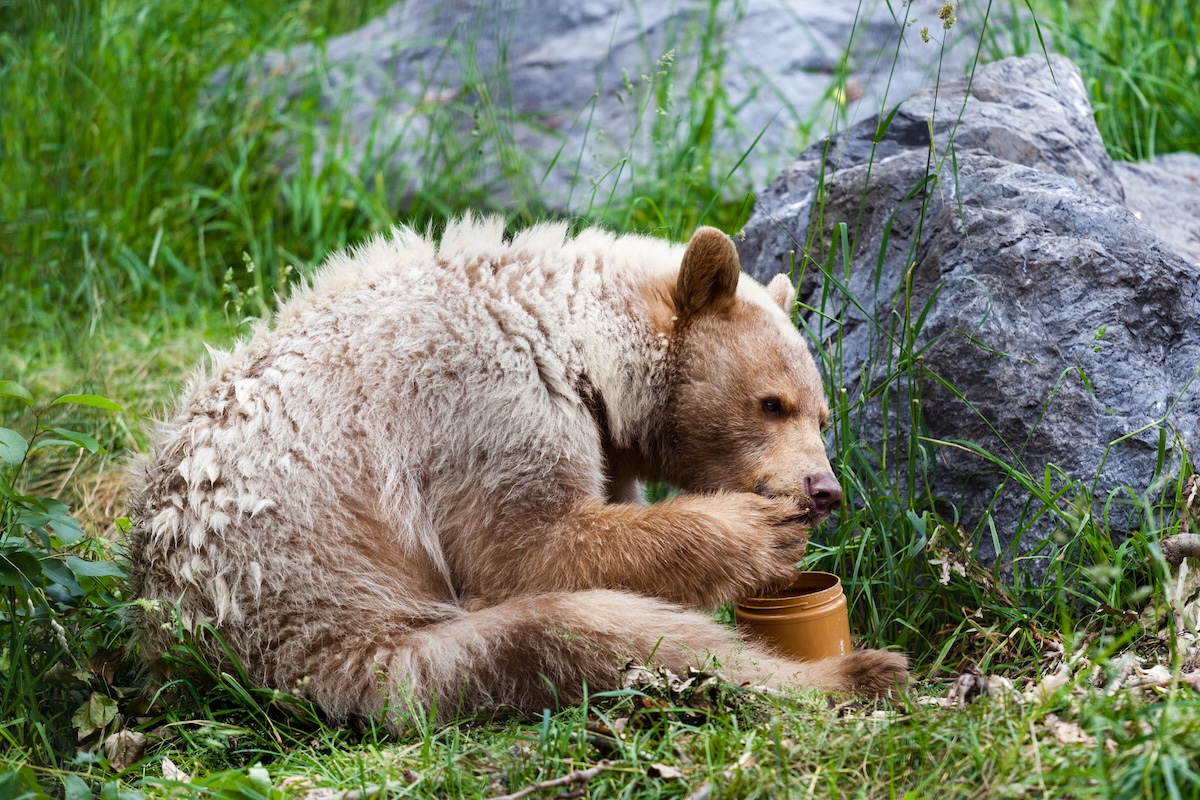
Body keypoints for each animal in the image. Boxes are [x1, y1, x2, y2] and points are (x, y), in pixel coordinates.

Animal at [128, 217, 907, 727]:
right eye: (772, 403)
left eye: (824, 416)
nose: (822, 490)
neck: (572, 339)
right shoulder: (484, 403)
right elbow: (529, 548)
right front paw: (757, 532)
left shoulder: (597, 442)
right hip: (348, 632)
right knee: (585, 635)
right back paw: (853, 673)